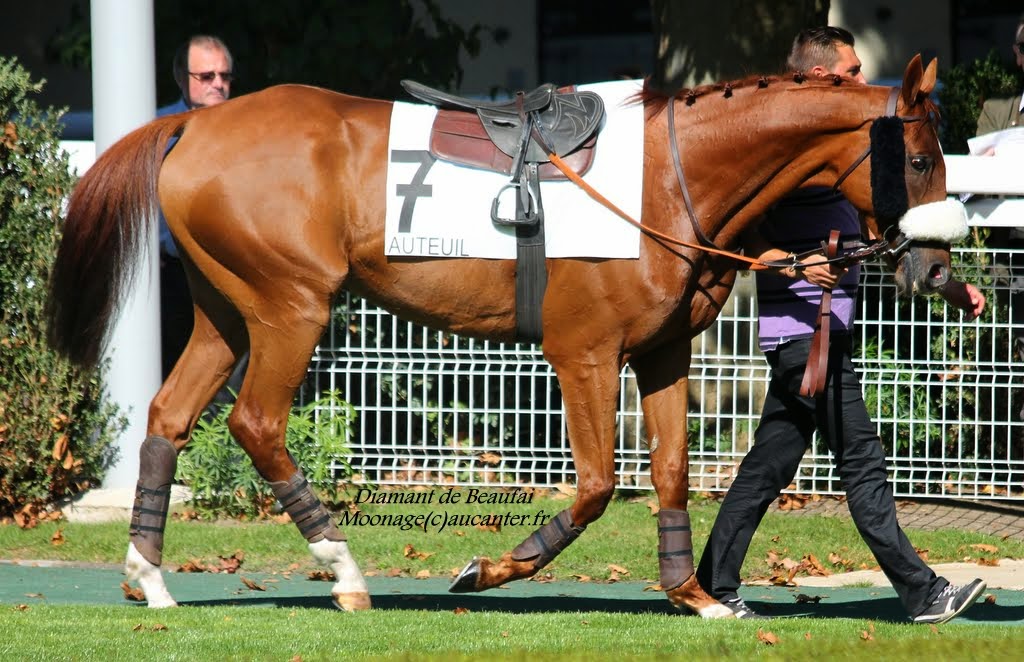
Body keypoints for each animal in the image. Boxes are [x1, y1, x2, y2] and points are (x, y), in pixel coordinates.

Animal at [48, 55, 962, 618]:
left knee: (169, 418)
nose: (933, 268)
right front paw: (486, 569)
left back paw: (148, 576)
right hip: (290, 308)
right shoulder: (584, 354)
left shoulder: (662, 353)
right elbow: (597, 486)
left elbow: (670, 472)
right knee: (257, 424)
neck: (668, 177)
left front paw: (694, 594)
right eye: (919, 160)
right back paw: (344, 570)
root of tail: (196, 125)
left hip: (227, 312)